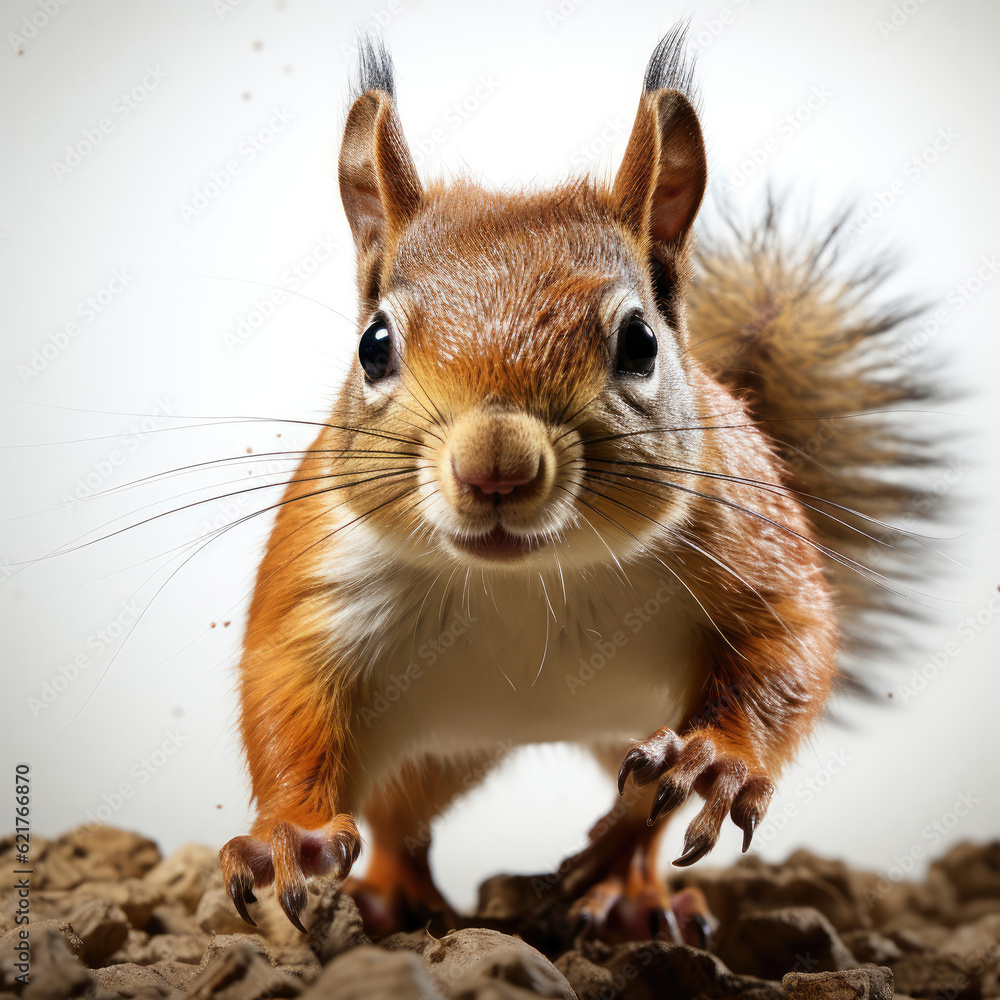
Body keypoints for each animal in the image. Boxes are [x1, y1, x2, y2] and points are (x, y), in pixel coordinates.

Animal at [217, 25, 928, 944]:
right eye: (374, 345)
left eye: (640, 342)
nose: (496, 465)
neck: (527, 580)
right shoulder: (325, 576)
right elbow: (287, 694)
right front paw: (291, 838)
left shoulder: (747, 541)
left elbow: (789, 642)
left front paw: (724, 760)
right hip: (435, 752)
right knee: (401, 817)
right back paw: (394, 896)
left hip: (627, 738)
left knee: (648, 808)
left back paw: (628, 885)